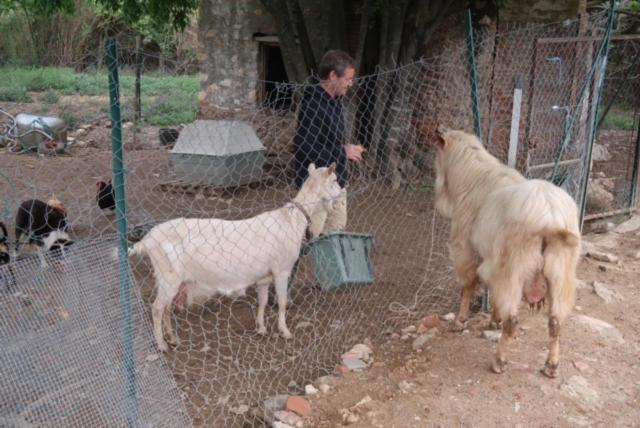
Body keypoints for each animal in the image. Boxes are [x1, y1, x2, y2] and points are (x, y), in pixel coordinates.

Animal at [130, 163, 344, 352]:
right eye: (334, 179)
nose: (342, 192)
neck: (292, 219)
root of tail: (147, 240)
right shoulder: (281, 270)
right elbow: (282, 302)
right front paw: (285, 331)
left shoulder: (264, 276)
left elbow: (263, 301)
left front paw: (261, 328)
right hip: (168, 276)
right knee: (157, 308)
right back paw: (162, 345)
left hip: (171, 280)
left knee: (166, 308)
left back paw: (173, 339)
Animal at [436, 128, 580, 378]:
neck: (471, 178)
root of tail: (550, 217)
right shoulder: (492, 263)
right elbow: (493, 292)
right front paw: (494, 319)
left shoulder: (467, 251)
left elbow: (468, 286)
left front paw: (460, 321)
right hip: (560, 273)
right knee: (555, 322)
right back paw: (551, 366)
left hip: (514, 269)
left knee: (513, 320)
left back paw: (499, 361)